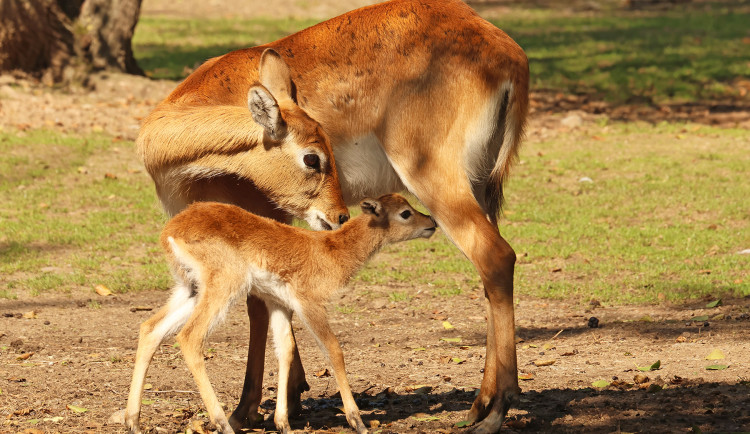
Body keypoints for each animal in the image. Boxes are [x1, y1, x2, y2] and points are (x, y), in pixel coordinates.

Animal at [124, 194, 438, 434]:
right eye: (406, 213)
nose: (432, 222)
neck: (331, 253)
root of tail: (171, 230)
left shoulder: (278, 303)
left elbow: (285, 350)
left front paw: (283, 423)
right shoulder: (309, 303)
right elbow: (334, 349)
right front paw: (357, 421)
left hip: (190, 289)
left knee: (149, 328)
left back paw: (132, 421)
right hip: (224, 285)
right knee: (189, 337)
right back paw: (222, 424)